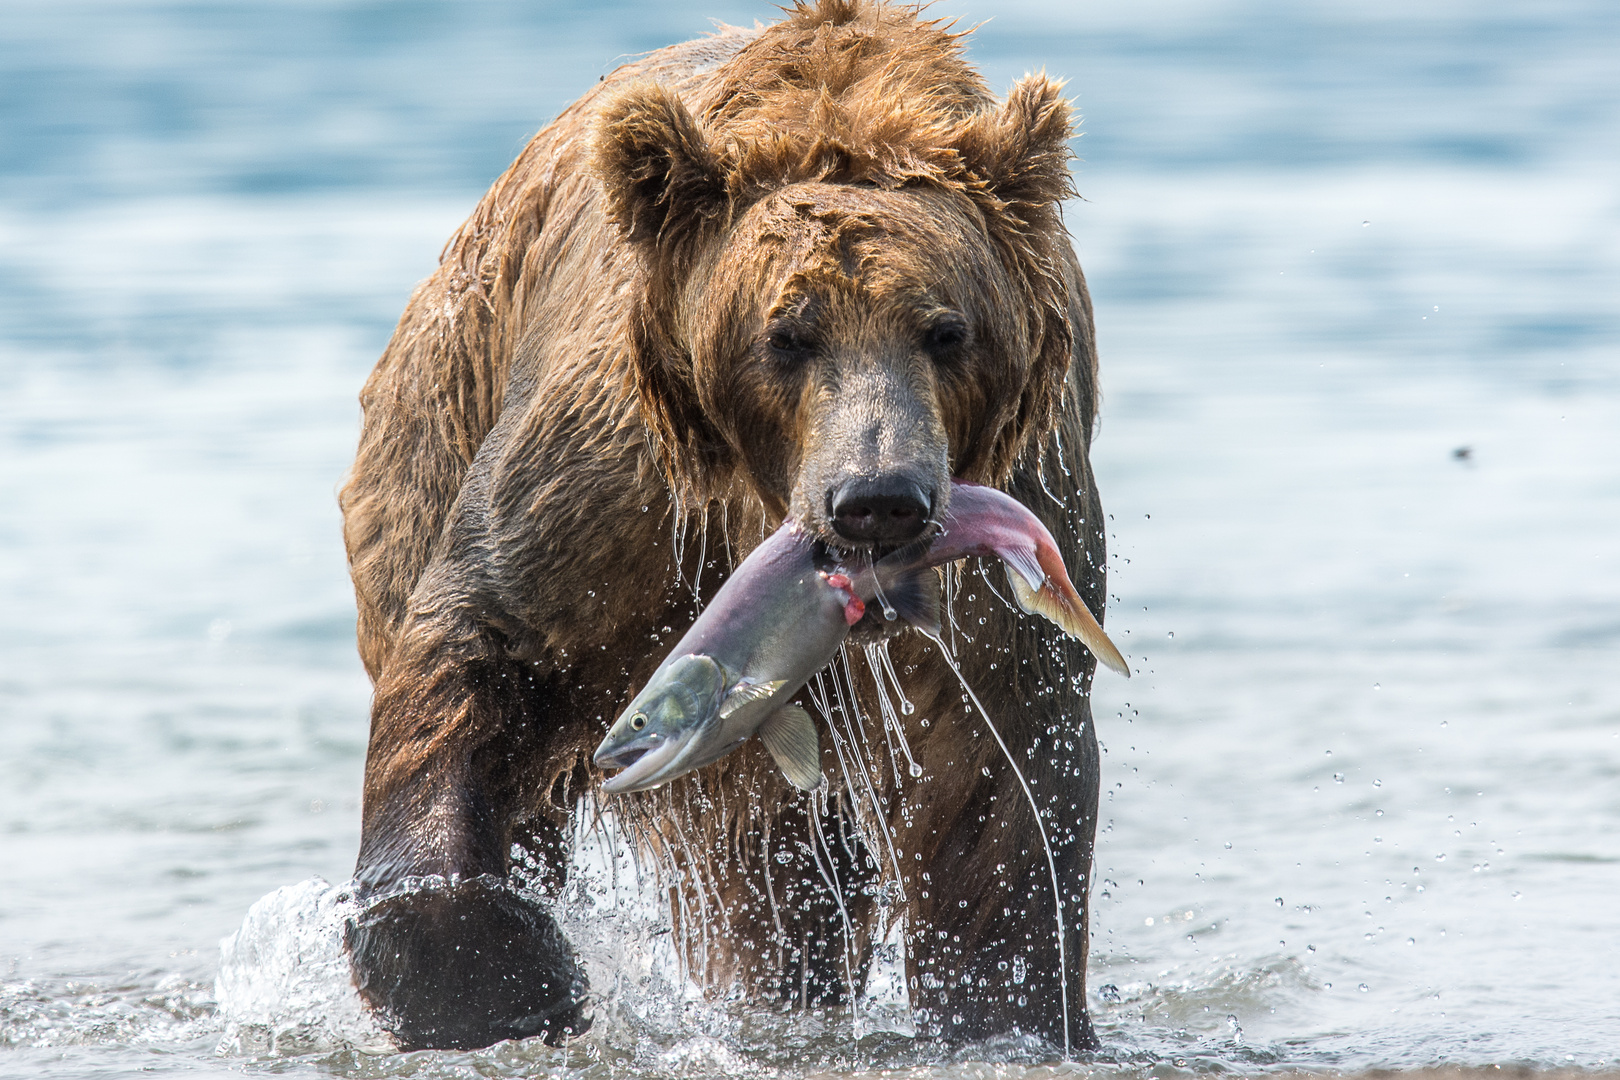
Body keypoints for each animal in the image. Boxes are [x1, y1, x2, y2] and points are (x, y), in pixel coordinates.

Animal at [338, 0, 1114, 1049]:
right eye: (786, 336)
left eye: (947, 330)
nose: (878, 498)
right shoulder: (616, 497)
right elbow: (479, 643)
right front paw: (510, 977)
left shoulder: (1012, 549)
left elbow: (998, 798)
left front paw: (1006, 1006)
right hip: (431, 431)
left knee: (785, 894)